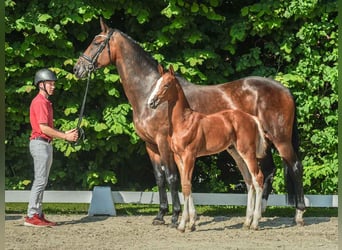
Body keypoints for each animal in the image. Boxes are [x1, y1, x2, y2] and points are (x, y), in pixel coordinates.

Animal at [73, 16, 306, 226]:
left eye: (96, 42)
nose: (77, 69)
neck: (148, 92)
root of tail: (284, 89)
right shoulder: (150, 145)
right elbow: (159, 178)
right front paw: (160, 216)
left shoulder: (164, 143)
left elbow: (172, 177)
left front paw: (176, 216)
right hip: (260, 144)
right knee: (268, 172)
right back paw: (260, 212)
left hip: (280, 140)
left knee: (294, 166)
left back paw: (298, 214)